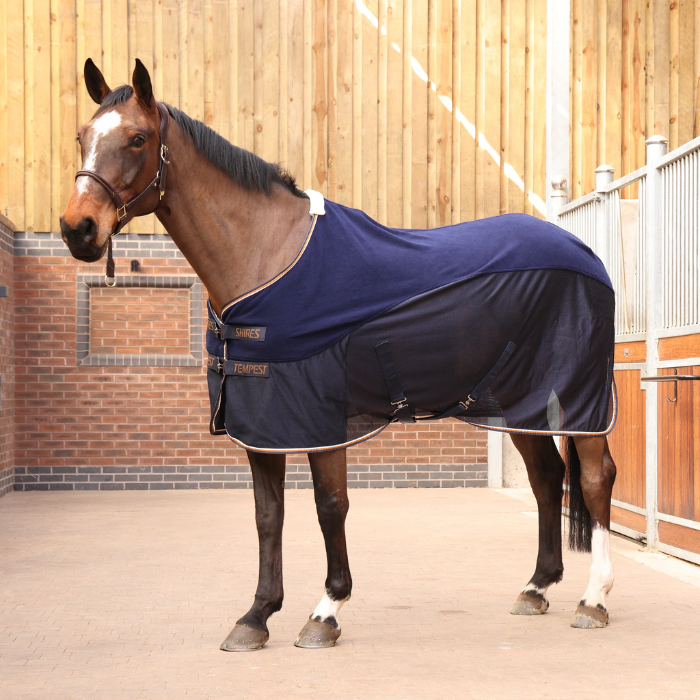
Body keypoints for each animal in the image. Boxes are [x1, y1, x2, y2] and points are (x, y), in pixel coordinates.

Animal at [60, 59, 618, 651]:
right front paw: (256, 616)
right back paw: (537, 587)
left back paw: (594, 598)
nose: (78, 229)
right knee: (546, 477)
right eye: (82, 136)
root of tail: (585, 253)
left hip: (579, 398)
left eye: (137, 139)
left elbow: (330, 506)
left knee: (593, 478)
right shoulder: (260, 420)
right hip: (520, 401)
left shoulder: (319, 415)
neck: (268, 257)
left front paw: (325, 610)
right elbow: (268, 515)